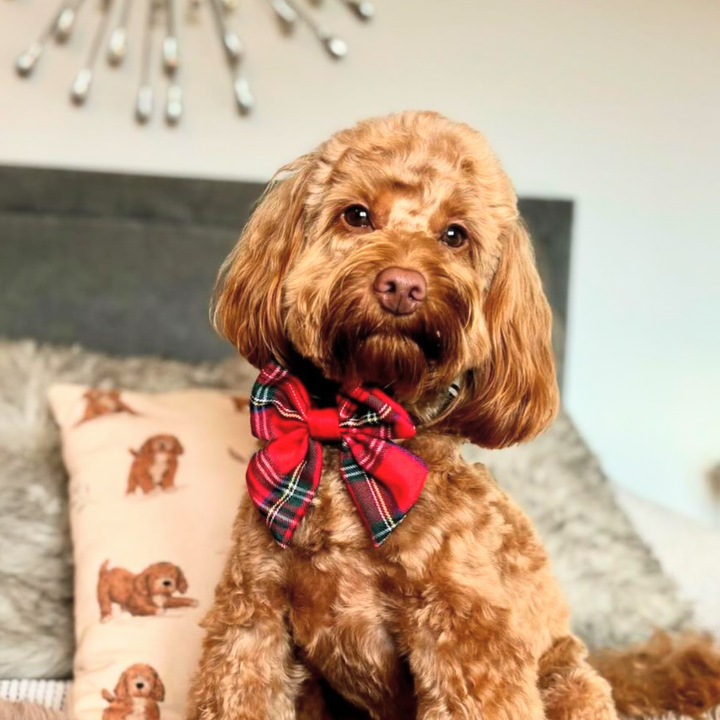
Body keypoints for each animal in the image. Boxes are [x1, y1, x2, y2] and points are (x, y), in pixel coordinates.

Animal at [187, 111, 720, 720]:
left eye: (454, 235)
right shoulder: (253, 618)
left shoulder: (465, 636)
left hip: (568, 679)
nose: (402, 284)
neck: (356, 435)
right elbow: (241, 687)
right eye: (357, 215)